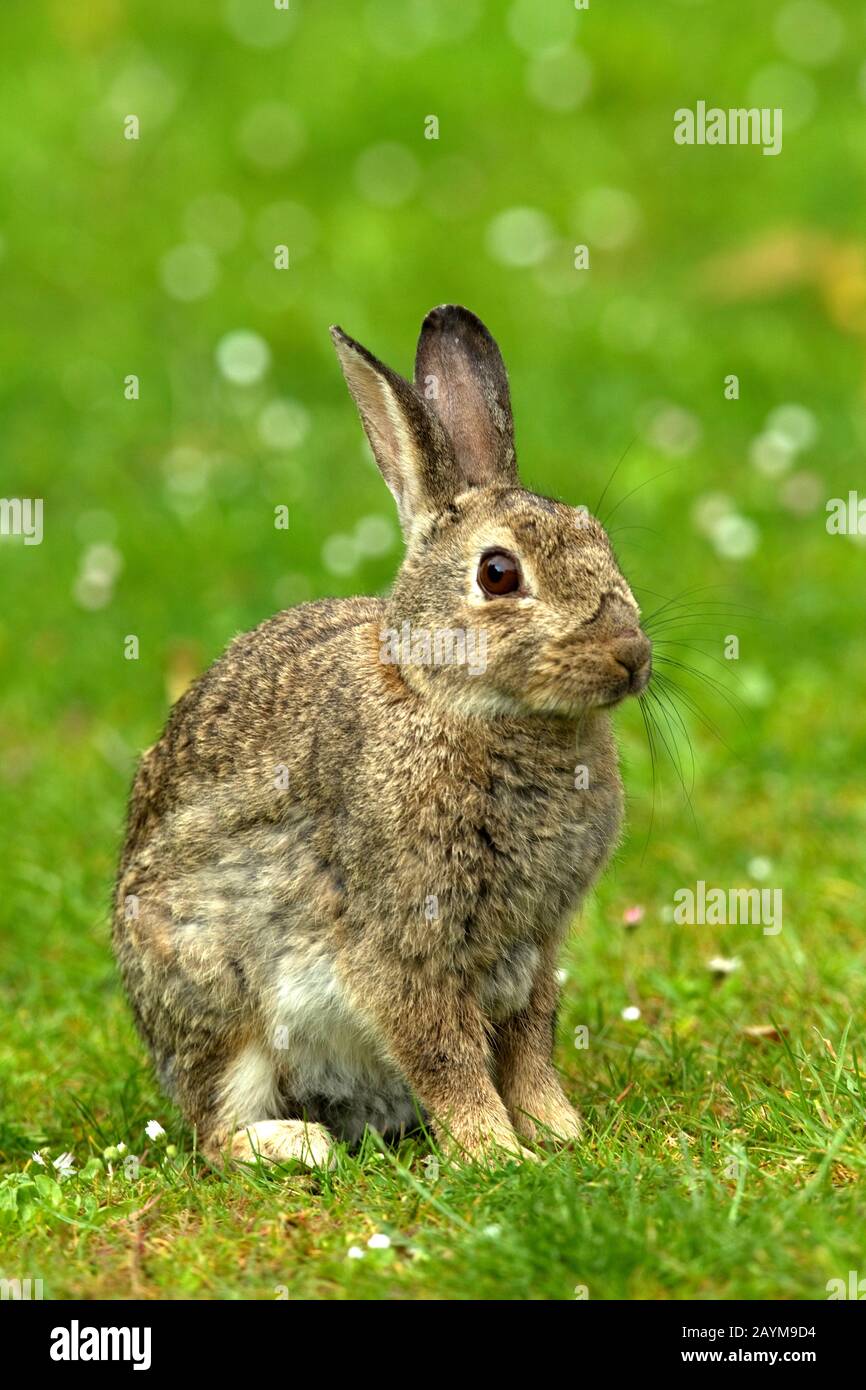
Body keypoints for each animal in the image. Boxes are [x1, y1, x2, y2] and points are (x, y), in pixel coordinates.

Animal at [113, 304, 652, 1169]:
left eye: (597, 536)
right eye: (498, 574)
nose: (631, 655)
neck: (460, 705)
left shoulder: (534, 950)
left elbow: (529, 1047)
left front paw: (558, 1132)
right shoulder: (399, 945)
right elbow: (445, 1054)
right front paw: (496, 1154)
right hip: (217, 997)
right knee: (213, 1131)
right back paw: (297, 1146)